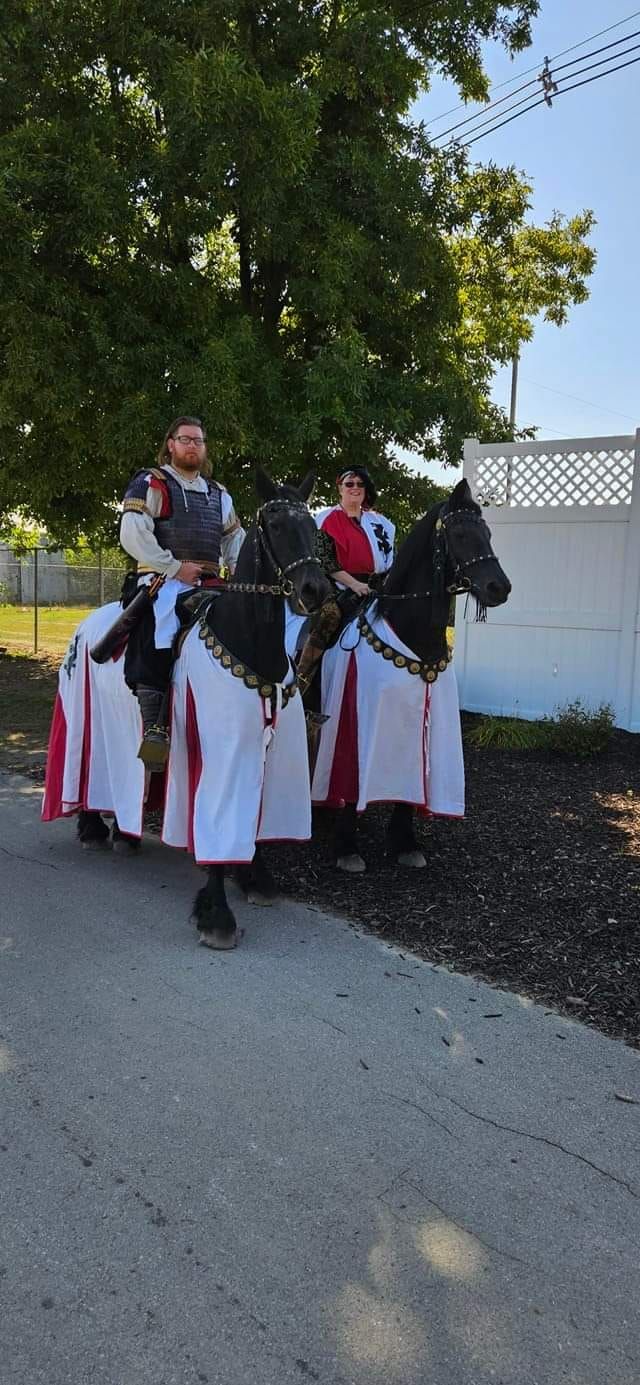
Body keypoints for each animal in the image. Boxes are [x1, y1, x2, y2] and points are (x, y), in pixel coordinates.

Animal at [77, 470, 332, 947]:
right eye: (275, 525)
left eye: (312, 527)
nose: (315, 590)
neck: (248, 641)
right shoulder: (221, 751)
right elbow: (217, 816)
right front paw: (216, 912)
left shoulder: (264, 751)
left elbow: (253, 819)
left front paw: (254, 876)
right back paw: (91, 827)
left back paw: (125, 833)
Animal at [329, 476, 509, 864]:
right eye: (459, 534)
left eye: (487, 533)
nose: (499, 587)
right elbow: (350, 784)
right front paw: (347, 846)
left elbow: (410, 792)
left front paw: (405, 840)